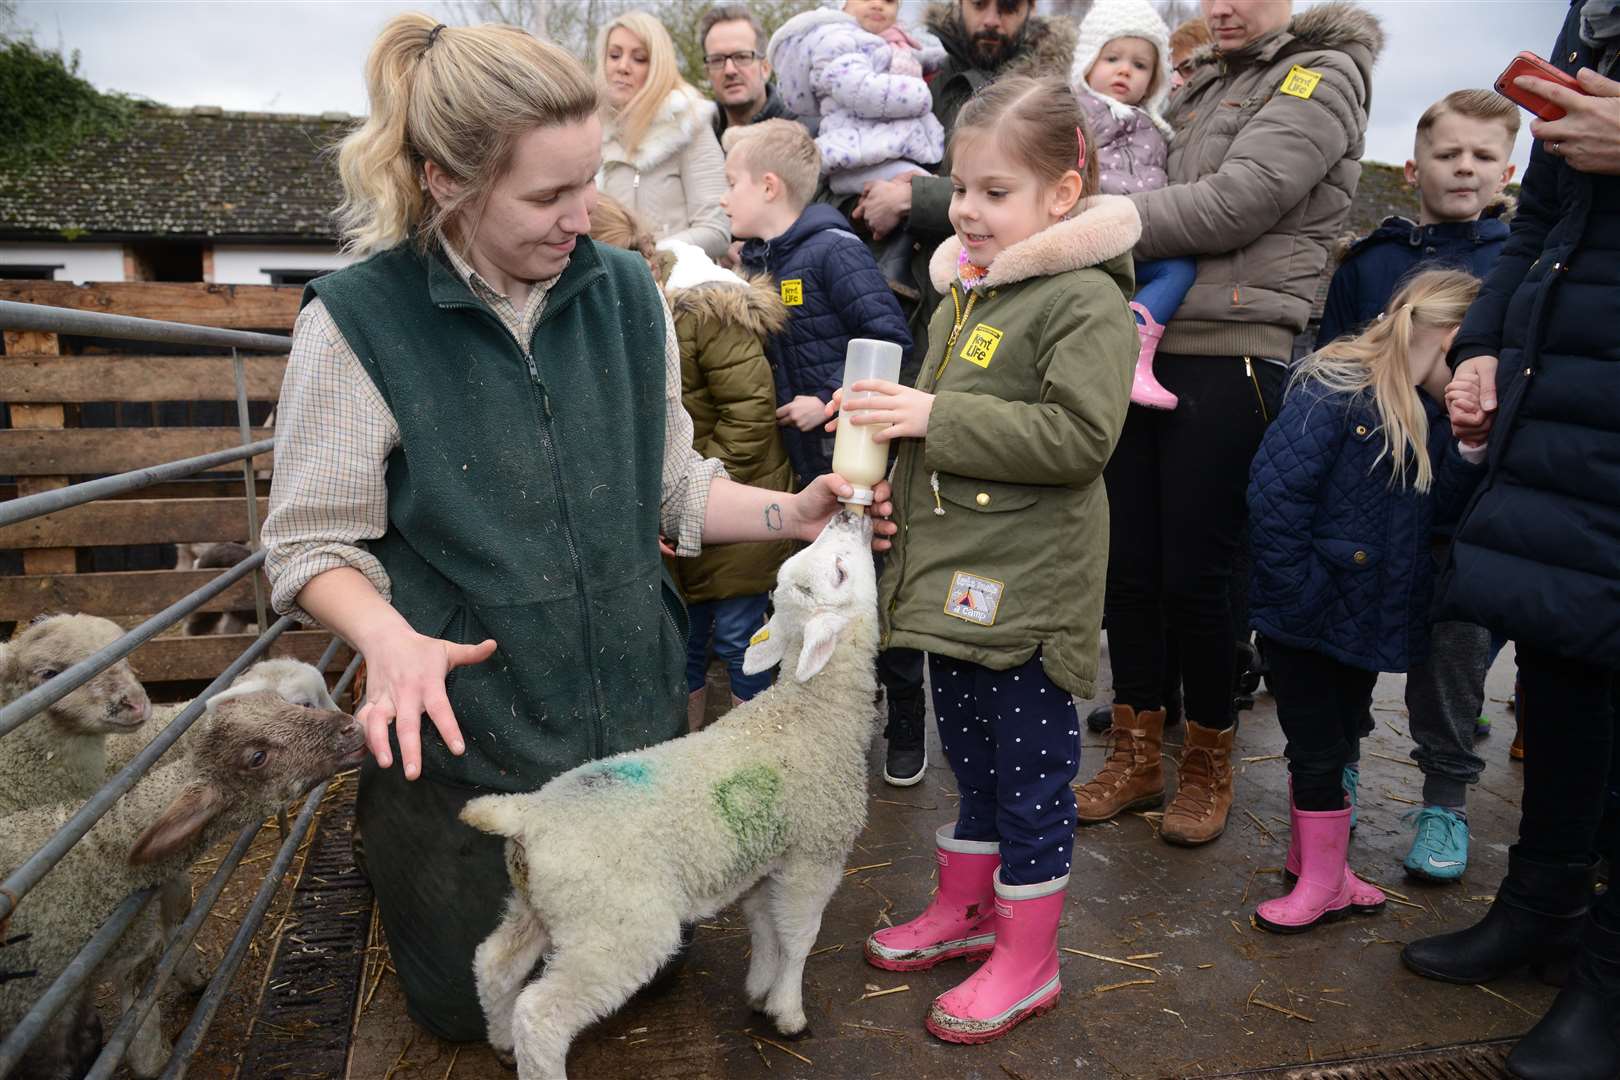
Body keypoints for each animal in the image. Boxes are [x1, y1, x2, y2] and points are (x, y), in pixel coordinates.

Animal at [0, 693, 366, 1080]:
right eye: (257, 758)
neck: (95, 854)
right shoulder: (49, 1011)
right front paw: (160, 1055)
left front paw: (194, 979)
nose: (351, 726)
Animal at [463, 514, 881, 1080]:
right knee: (541, 1013)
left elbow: (764, 928)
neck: (809, 712)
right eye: (840, 571)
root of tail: (527, 813)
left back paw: (502, 1041)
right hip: (619, 925)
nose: (847, 515)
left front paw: (759, 990)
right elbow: (799, 937)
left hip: (543, 903)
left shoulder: (763, 858)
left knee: (495, 963)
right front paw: (789, 1011)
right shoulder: (816, 855)